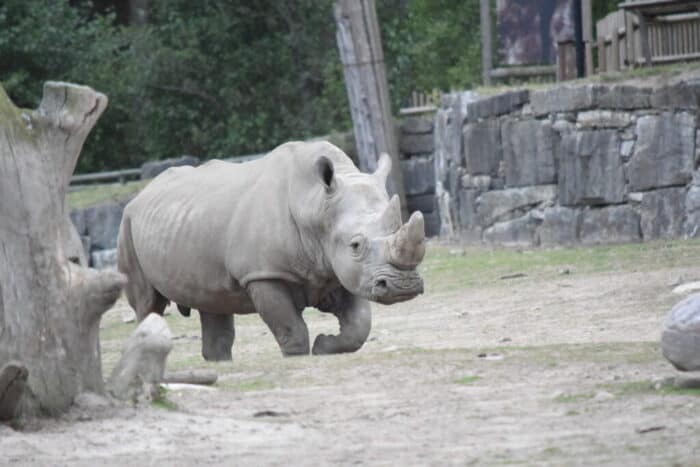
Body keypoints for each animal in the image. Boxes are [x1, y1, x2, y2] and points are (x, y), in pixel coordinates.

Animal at [117, 141, 425, 361]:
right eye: (356, 245)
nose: (404, 286)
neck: (315, 205)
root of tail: (142, 193)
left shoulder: (339, 270)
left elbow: (359, 325)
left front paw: (324, 345)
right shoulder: (263, 274)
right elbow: (290, 327)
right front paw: (299, 356)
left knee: (211, 302)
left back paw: (219, 363)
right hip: (127, 223)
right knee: (147, 303)